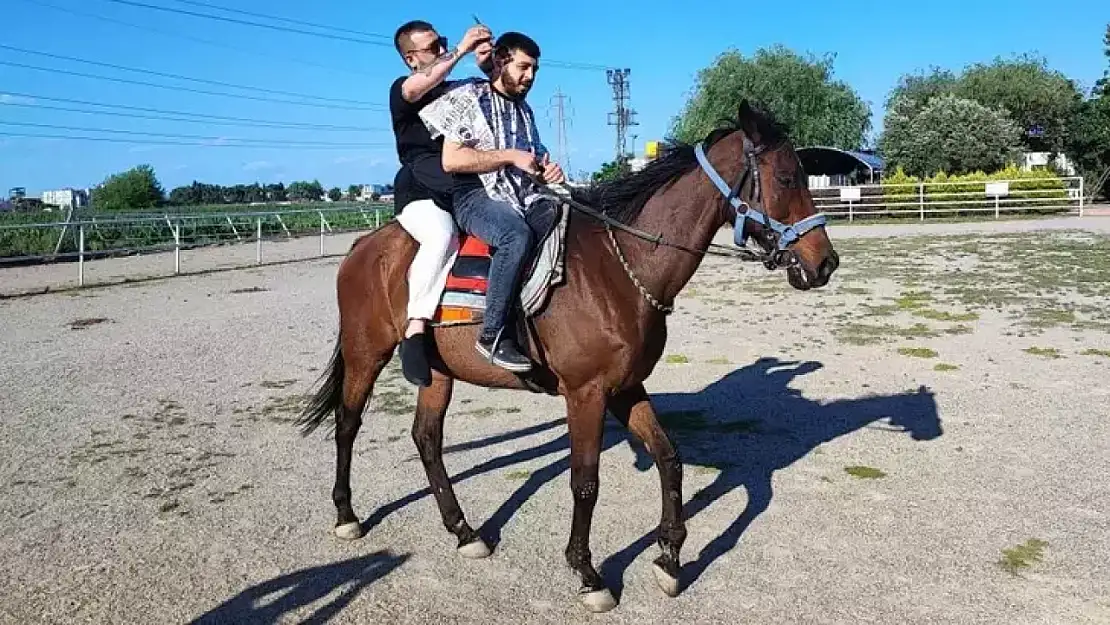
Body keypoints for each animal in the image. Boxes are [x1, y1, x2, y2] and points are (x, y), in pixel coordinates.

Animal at [299, 101, 834, 612]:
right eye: (787, 178)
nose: (825, 262)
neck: (621, 268)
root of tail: (364, 245)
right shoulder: (586, 394)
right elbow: (585, 482)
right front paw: (588, 573)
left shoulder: (625, 388)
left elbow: (670, 459)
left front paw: (669, 558)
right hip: (366, 354)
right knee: (347, 424)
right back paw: (347, 515)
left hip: (437, 372)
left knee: (427, 439)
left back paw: (464, 531)